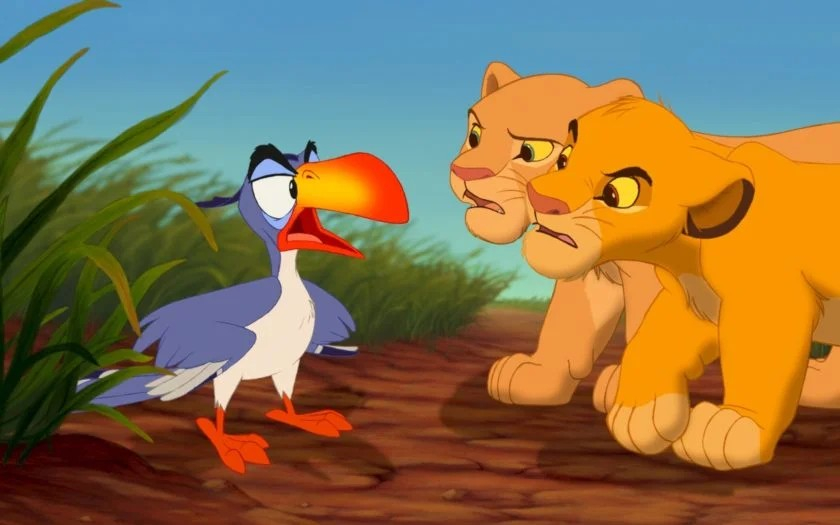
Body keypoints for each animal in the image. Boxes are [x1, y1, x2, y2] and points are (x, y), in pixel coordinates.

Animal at [450, 61, 840, 411]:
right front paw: (536, 376)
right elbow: (567, 326)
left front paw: (625, 387)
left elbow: (643, 327)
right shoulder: (589, 275)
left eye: (533, 151)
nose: (464, 172)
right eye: (474, 136)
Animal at [522, 95, 840, 470]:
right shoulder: (693, 301)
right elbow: (651, 343)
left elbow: (760, 358)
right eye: (564, 159)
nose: (540, 198)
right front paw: (640, 414)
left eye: (618, 193)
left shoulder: (768, 298)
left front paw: (733, 425)